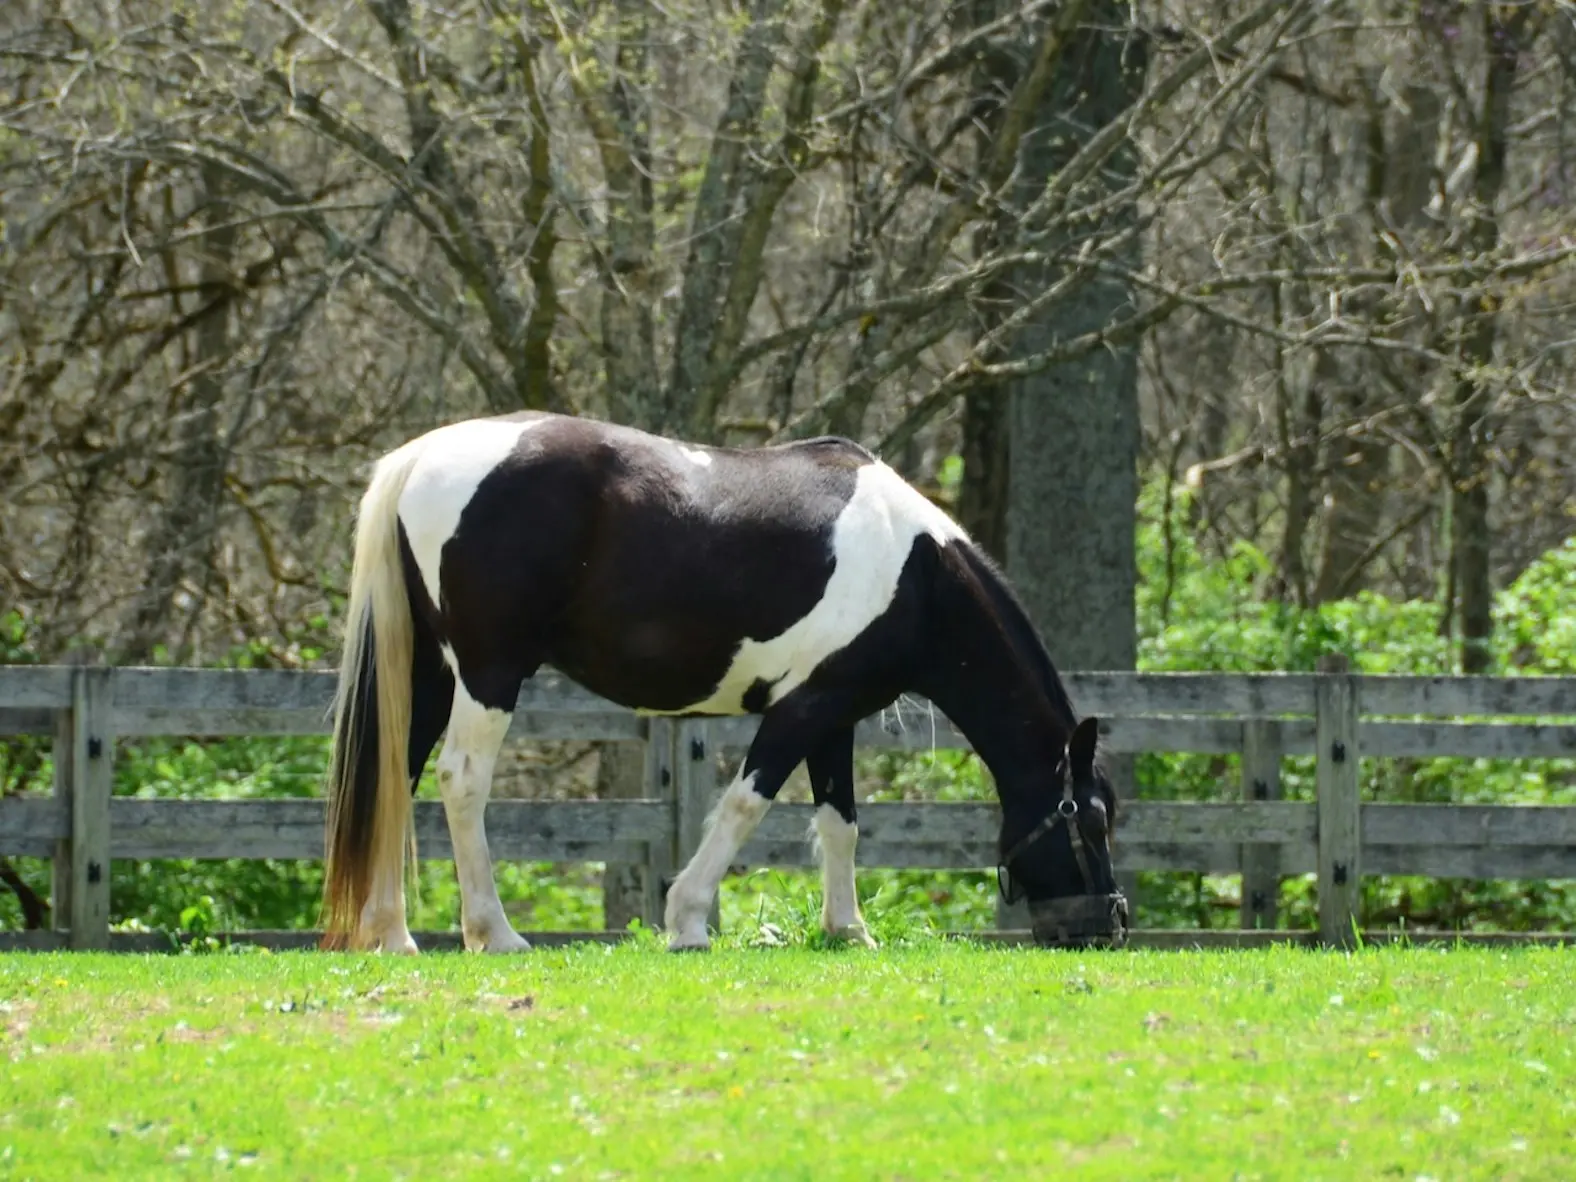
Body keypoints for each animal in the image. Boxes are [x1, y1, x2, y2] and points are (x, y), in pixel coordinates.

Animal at [323, 412, 1122, 951]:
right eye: (1090, 819)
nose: (1108, 925)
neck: (917, 575)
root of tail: (423, 455)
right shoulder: (803, 708)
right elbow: (745, 805)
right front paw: (687, 921)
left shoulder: (836, 717)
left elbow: (841, 822)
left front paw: (848, 931)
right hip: (490, 673)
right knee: (461, 781)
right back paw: (495, 933)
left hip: (429, 672)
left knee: (397, 777)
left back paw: (392, 934)